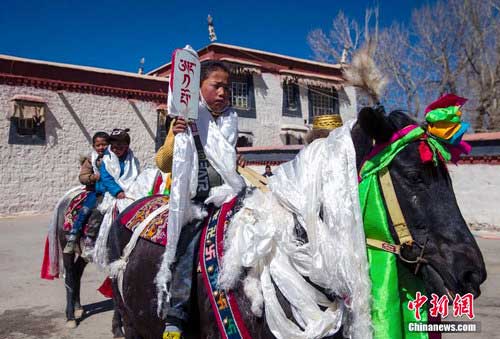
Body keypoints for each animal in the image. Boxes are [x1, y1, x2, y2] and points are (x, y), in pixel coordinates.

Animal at [52, 194, 125, 338]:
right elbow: (117, 295)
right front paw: (118, 330)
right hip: (65, 247)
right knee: (70, 276)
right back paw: (70, 317)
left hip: (83, 254)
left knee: (77, 273)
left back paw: (78, 308)